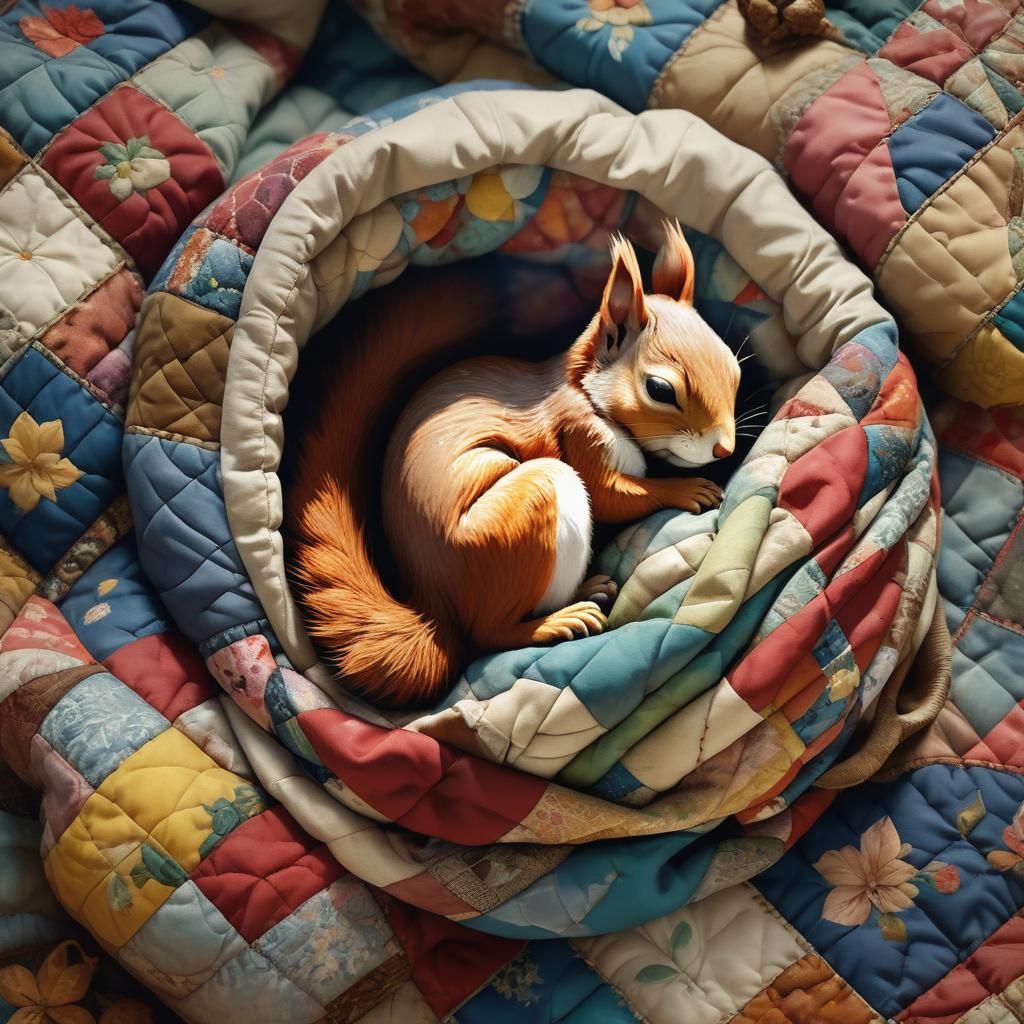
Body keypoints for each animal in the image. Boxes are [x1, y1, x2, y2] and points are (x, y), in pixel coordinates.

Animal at [292, 221, 740, 708]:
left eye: (735, 370)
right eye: (660, 389)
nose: (725, 450)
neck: (584, 392)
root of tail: (435, 604)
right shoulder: (578, 433)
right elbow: (611, 498)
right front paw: (690, 489)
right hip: (532, 502)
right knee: (488, 635)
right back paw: (557, 621)